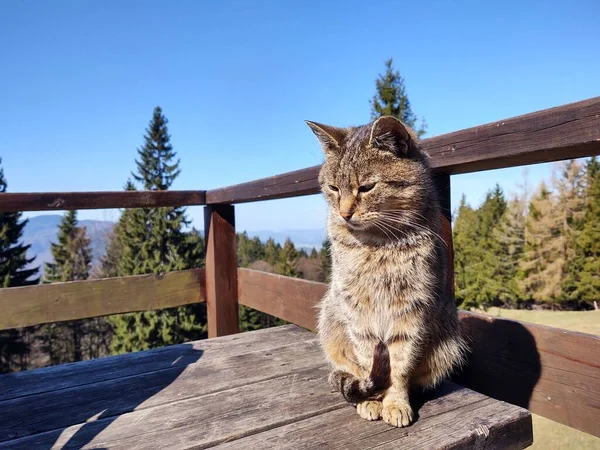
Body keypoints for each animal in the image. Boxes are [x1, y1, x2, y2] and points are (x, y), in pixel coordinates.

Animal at [308, 114, 466, 428]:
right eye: (333, 188)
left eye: (366, 187)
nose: (344, 213)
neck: (377, 243)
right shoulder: (356, 311)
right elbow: (368, 360)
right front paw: (372, 399)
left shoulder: (413, 309)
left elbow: (400, 365)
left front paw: (394, 402)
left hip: (449, 343)